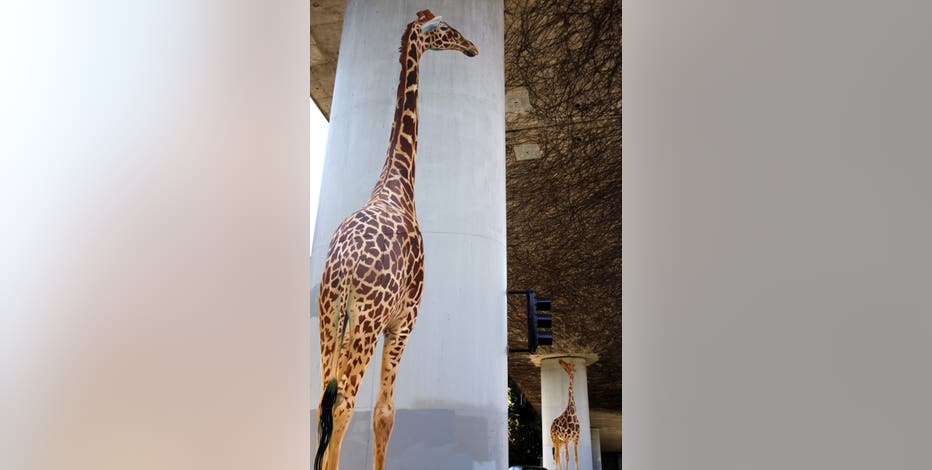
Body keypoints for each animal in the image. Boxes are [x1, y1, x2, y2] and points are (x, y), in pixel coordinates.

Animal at [313, 10, 478, 470]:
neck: (396, 182)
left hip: (329, 318)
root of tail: (346, 267)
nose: (473, 48)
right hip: (366, 323)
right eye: (447, 30)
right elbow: (386, 412)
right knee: (344, 403)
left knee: (322, 403)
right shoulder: (405, 319)